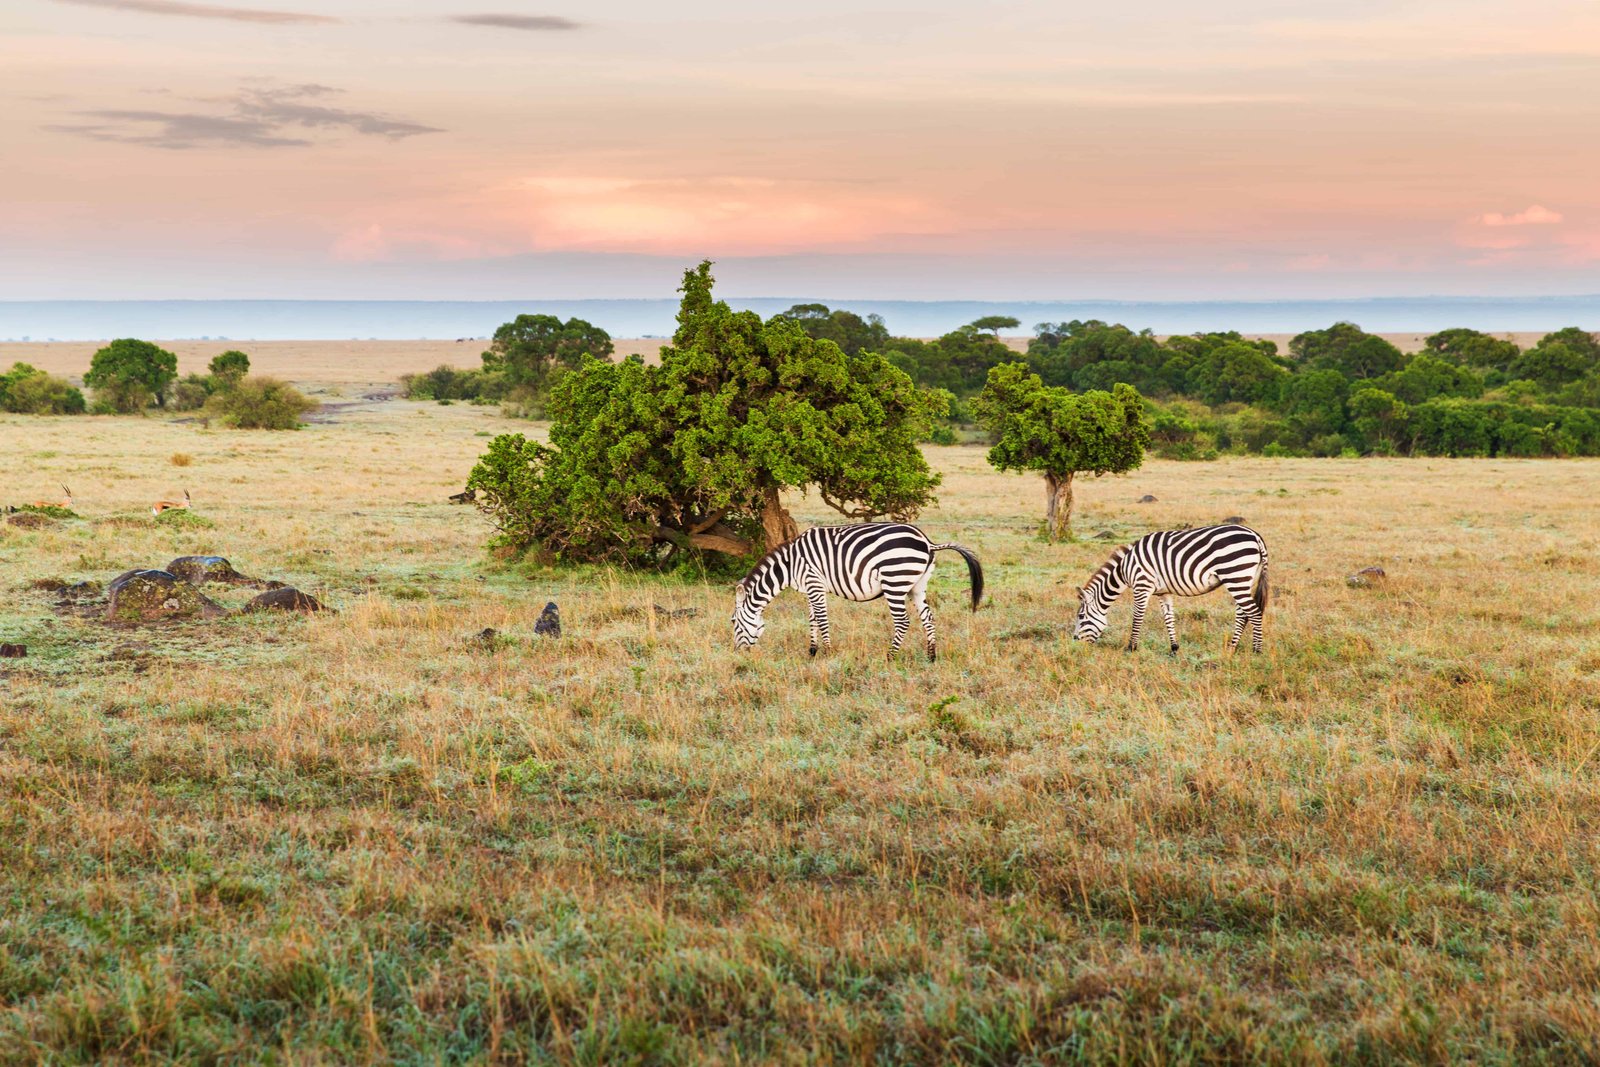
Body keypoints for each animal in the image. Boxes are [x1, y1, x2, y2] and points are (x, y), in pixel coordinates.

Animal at [732, 522, 983, 661]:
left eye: (733, 621)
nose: (737, 653)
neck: (790, 565)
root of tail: (927, 541)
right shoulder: (810, 588)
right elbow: (812, 619)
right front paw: (812, 651)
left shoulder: (814, 583)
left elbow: (821, 619)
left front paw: (828, 652)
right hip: (917, 586)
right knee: (928, 618)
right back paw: (931, 656)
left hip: (894, 581)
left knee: (902, 622)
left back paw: (890, 657)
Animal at [1074, 524, 1269, 654]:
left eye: (1081, 616)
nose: (1074, 641)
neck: (1124, 569)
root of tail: (1255, 536)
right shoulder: (1163, 592)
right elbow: (1168, 617)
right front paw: (1174, 648)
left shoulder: (1142, 585)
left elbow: (1137, 617)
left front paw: (1131, 648)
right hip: (1243, 580)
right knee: (1242, 613)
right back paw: (1231, 648)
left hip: (1235, 575)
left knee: (1254, 612)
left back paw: (1257, 650)